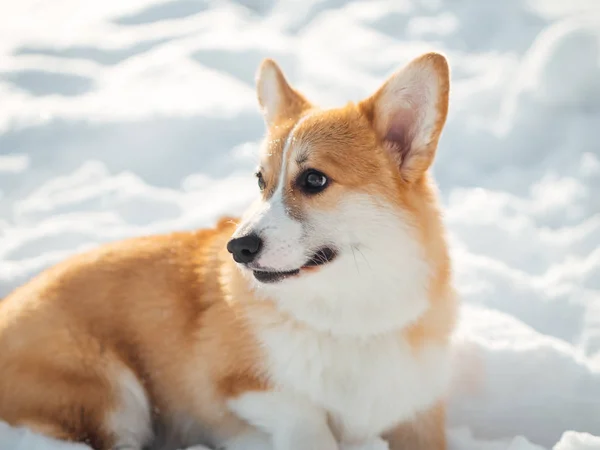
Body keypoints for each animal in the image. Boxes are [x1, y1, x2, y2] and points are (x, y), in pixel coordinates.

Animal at [0, 53, 454, 450]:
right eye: (260, 181)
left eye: (314, 179)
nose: (238, 247)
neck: (352, 319)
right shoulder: (238, 385)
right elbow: (307, 421)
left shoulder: (419, 412)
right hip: (113, 399)